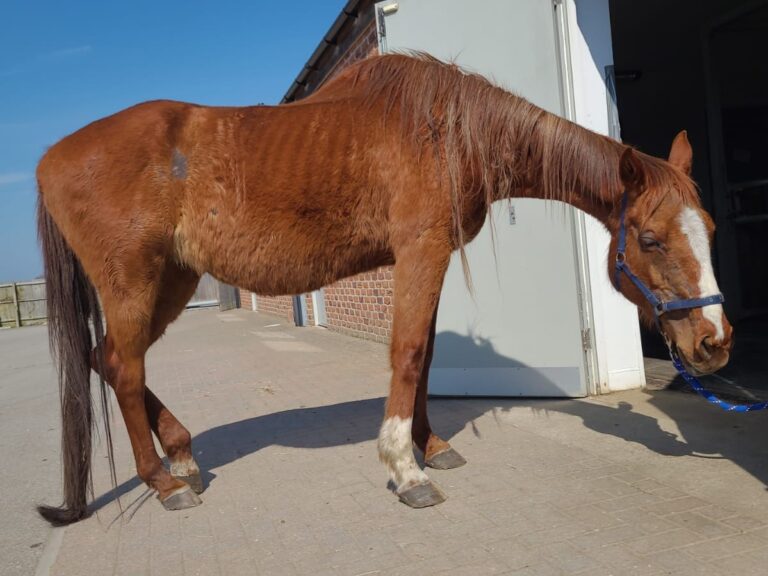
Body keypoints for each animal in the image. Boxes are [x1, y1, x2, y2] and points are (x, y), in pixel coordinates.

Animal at [36, 53, 732, 524]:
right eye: (649, 239)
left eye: (710, 228)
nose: (714, 341)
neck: (447, 128)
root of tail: (49, 158)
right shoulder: (420, 249)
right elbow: (409, 352)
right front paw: (405, 467)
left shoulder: (431, 256)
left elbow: (425, 356)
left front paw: (432, 445)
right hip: (134, 283)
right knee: (124, 369)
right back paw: (165, 483)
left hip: (173, 281)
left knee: (108, 360)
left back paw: (181, 455)